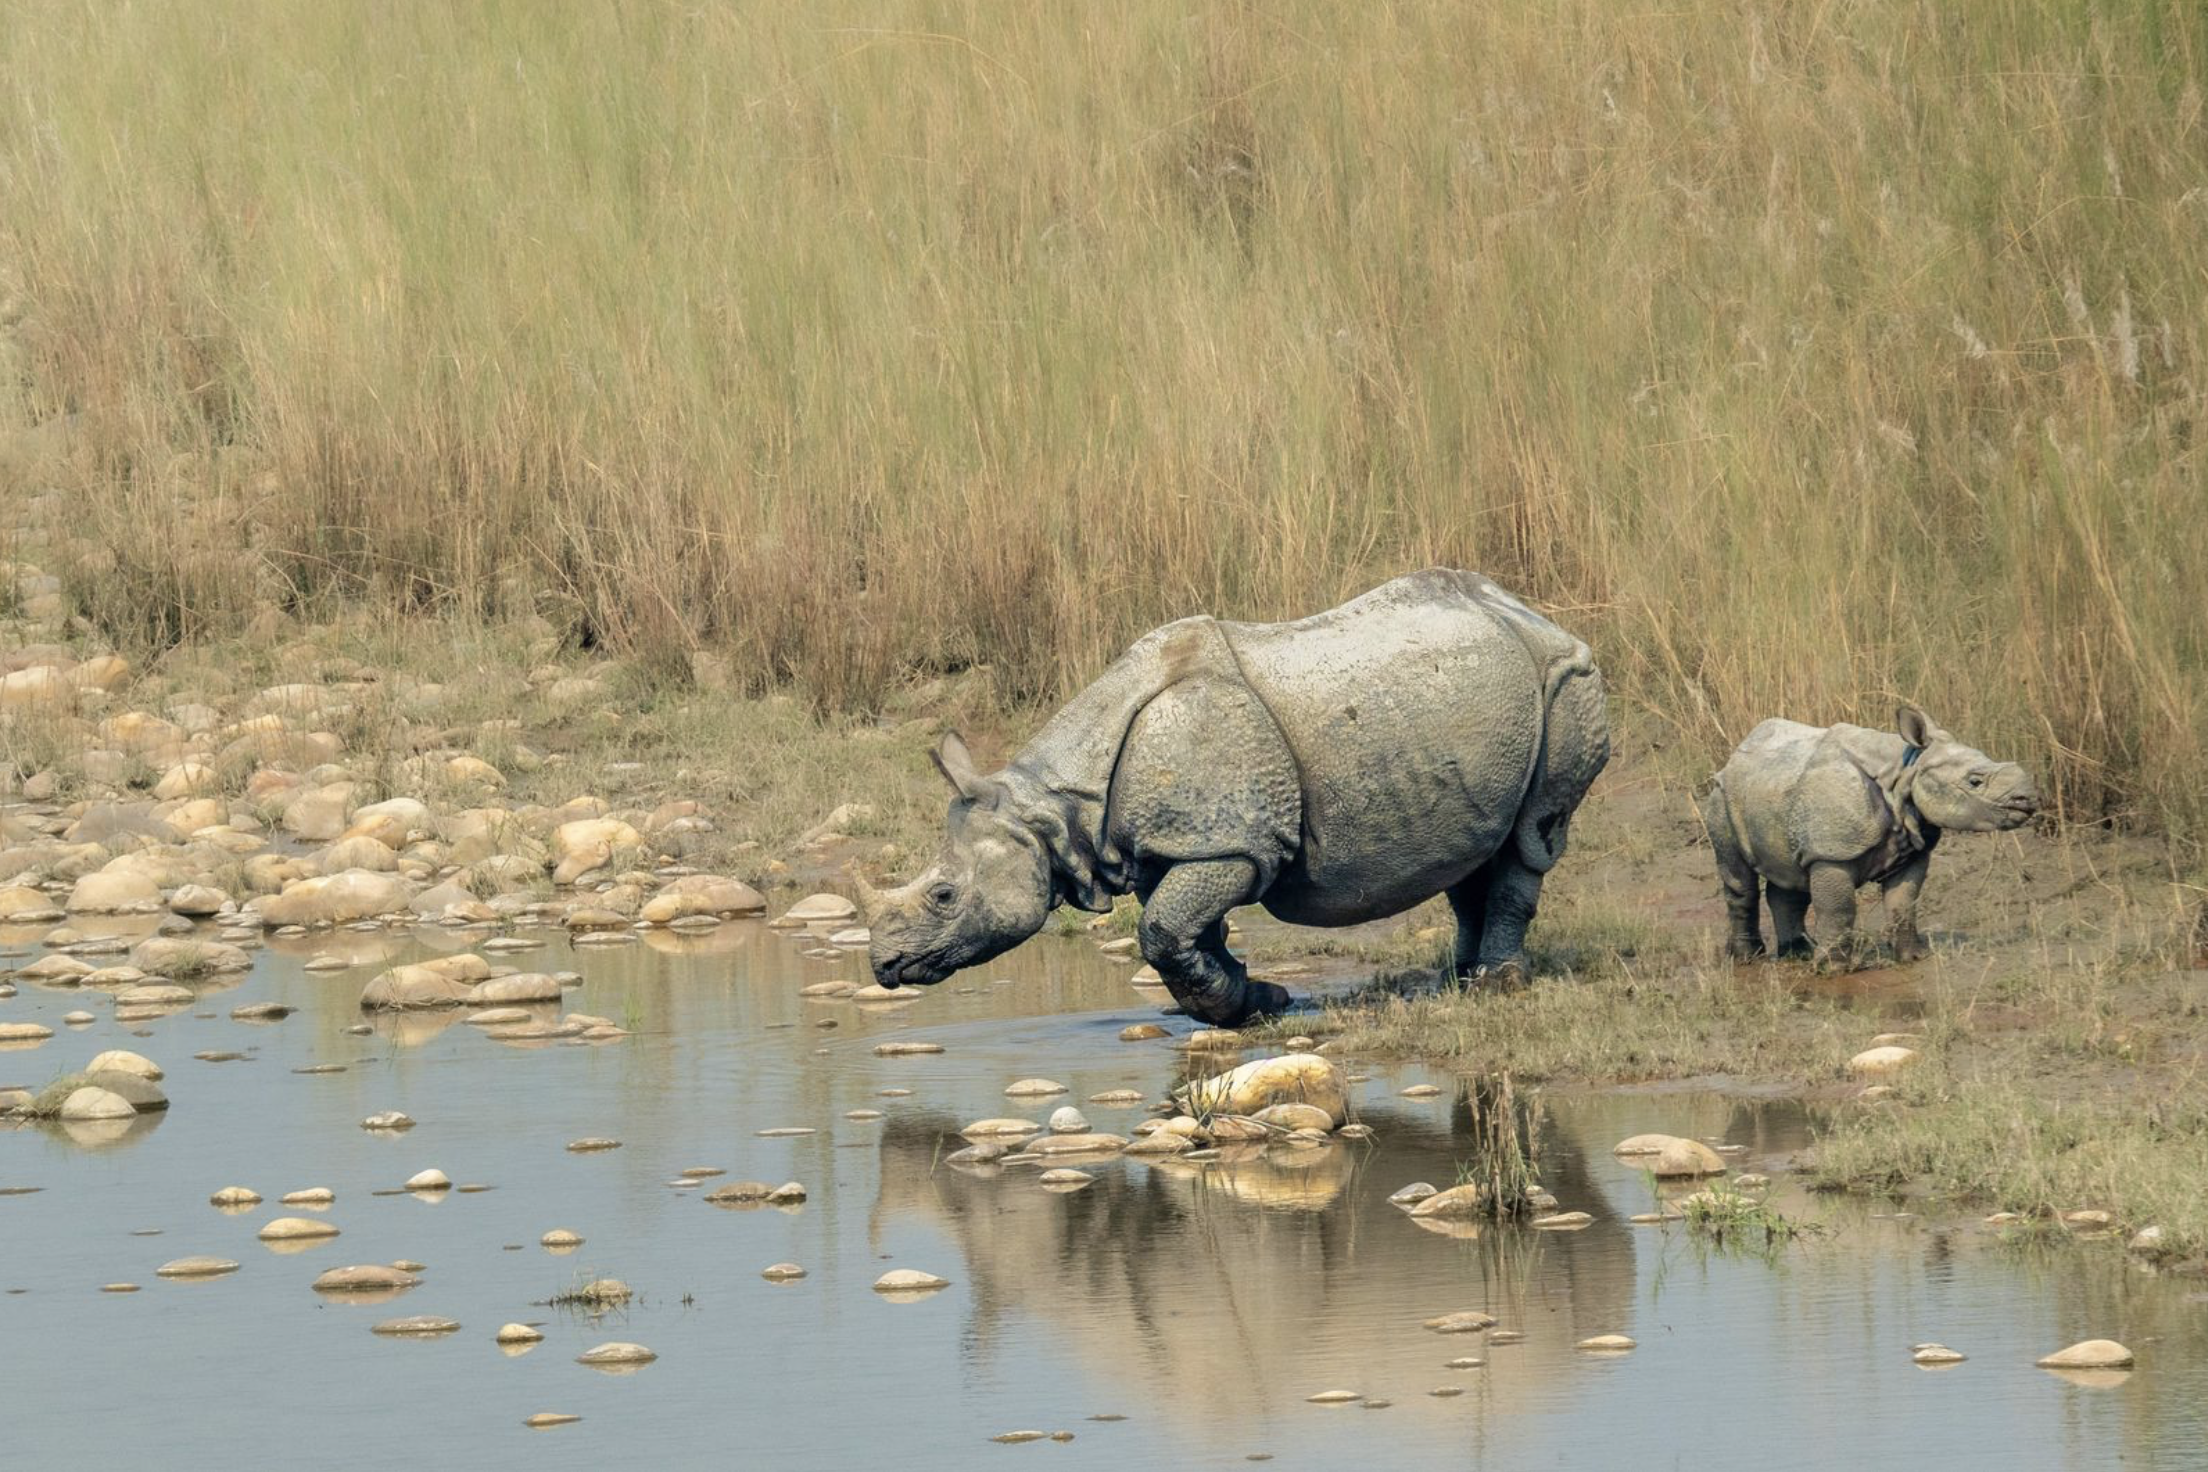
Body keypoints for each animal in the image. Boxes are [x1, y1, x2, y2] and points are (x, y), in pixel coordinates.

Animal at [859, 569, 1609, 1026]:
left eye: (944, 896)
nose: (883, 966)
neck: (1052, 809)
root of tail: (1536, 615)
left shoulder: (1230, 845)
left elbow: (1163, 931)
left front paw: (1241, 1004)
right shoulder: (1184, 845)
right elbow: (1189, 933)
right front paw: (1254, 1001)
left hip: (1564, 680)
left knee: (1532, 837)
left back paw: (1495, 983)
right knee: (1478, 845)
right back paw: (1450, 979)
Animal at [1704, 705, 2038, 964]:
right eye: (1974, 781)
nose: (2029, 798)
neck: (1904, 772)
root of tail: (1731, 759)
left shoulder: (1912, 849)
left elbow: (1903, 903)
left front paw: (1912, 957)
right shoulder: (1831, 852)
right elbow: (1838, 908)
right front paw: (1833, 968)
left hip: (1776, 794)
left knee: (1789, 874)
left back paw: (1797, 954)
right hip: (1722, 796)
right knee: (1740, 879)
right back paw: (1749, 959)